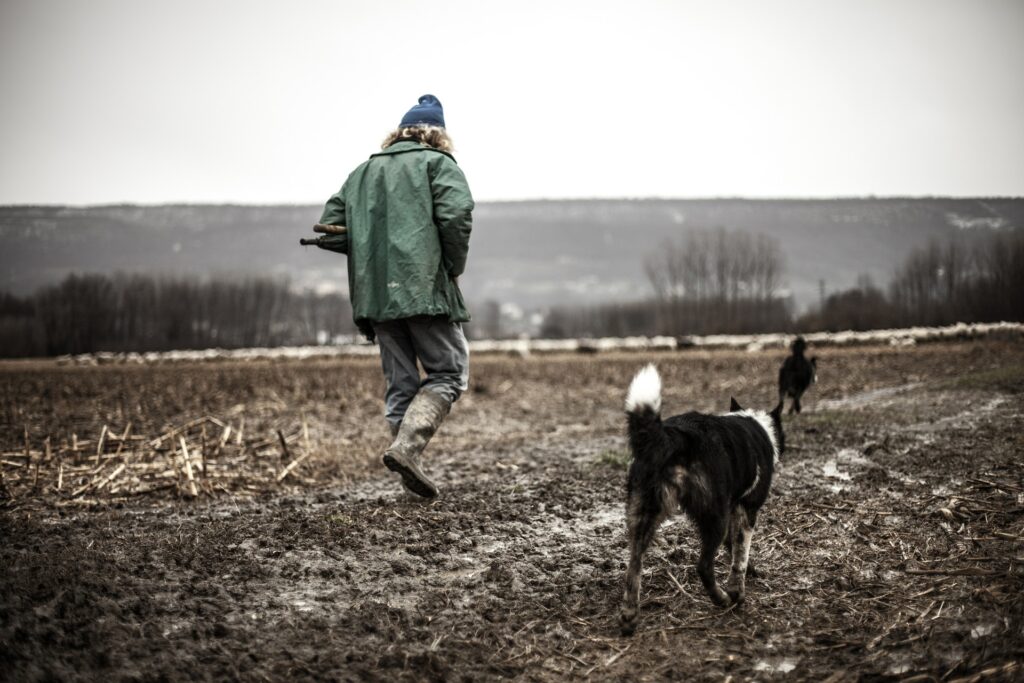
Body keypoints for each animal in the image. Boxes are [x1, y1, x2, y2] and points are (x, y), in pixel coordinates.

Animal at [614, 366, 782, 638]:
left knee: (633, 566)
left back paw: (629, 617)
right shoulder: (746, 509)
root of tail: (672, 437)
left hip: (642, 514)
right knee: (703, 567)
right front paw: (737, 591)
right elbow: (740, 555)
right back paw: (722, 599)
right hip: (713, 518)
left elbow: (733, 547)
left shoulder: (734, 510)